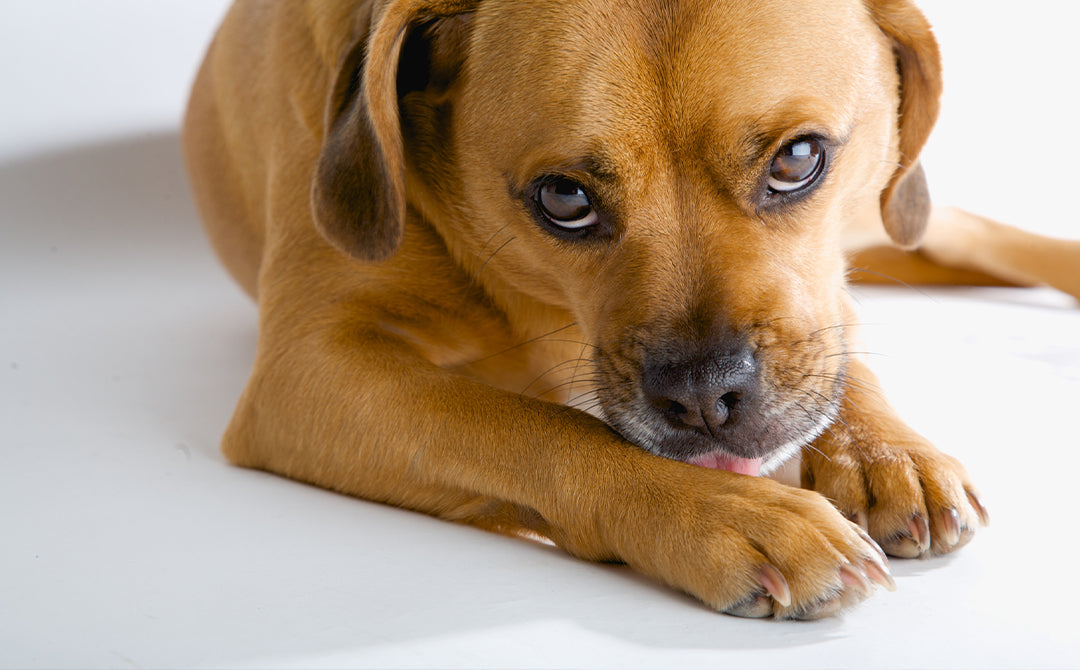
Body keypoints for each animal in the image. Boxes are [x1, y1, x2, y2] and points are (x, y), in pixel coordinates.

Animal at [183, 0, 1078, 619]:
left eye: (798, 158)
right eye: (563, 200)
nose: (705, 397)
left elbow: (829, 332)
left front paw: (880, 449)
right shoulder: (309, 371)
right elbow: (538, 429)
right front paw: (725, 513)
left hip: (885, 213)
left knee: (964, 232)